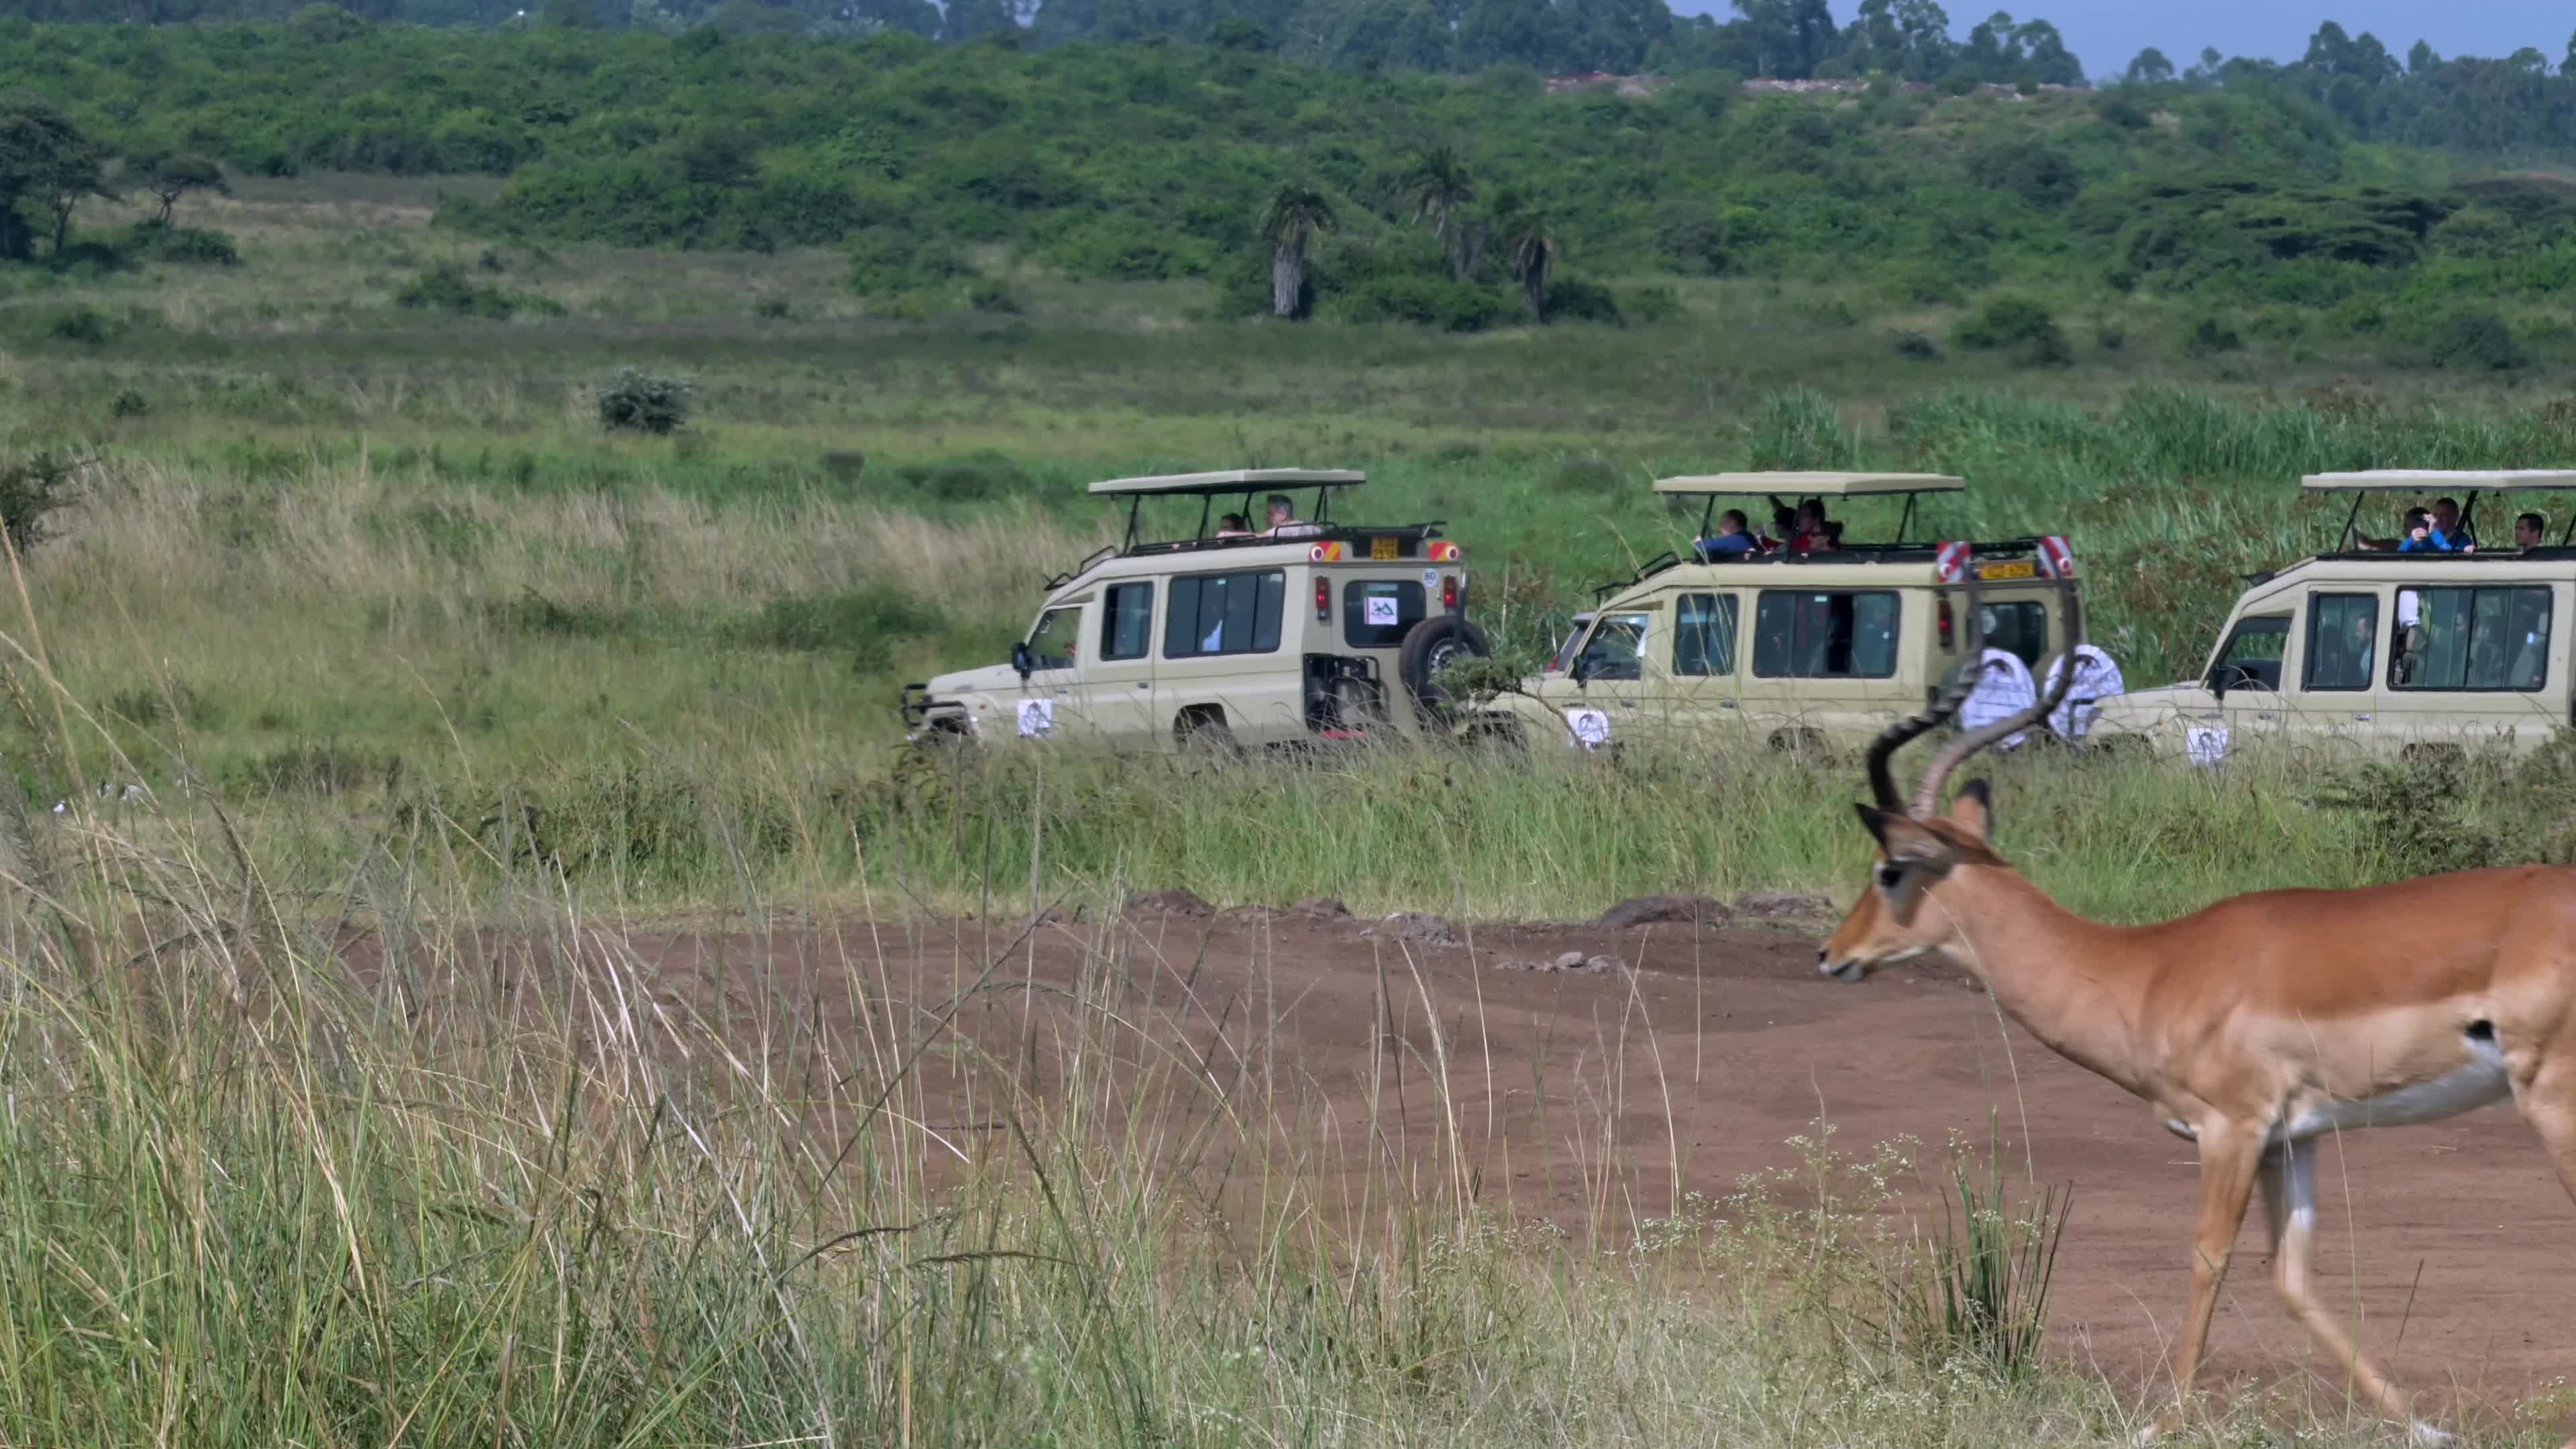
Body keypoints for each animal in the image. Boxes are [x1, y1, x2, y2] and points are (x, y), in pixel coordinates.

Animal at [1819, 582, 2576, 1448]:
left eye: (1890, 869)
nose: (1832, 954)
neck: (2147, 971)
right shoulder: (2292, 1139)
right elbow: (2290, 1279)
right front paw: (2425, 1427)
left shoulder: (2231, 1129)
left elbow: (2207, 1257)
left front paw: (2162, 1422)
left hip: (2552, 1097)